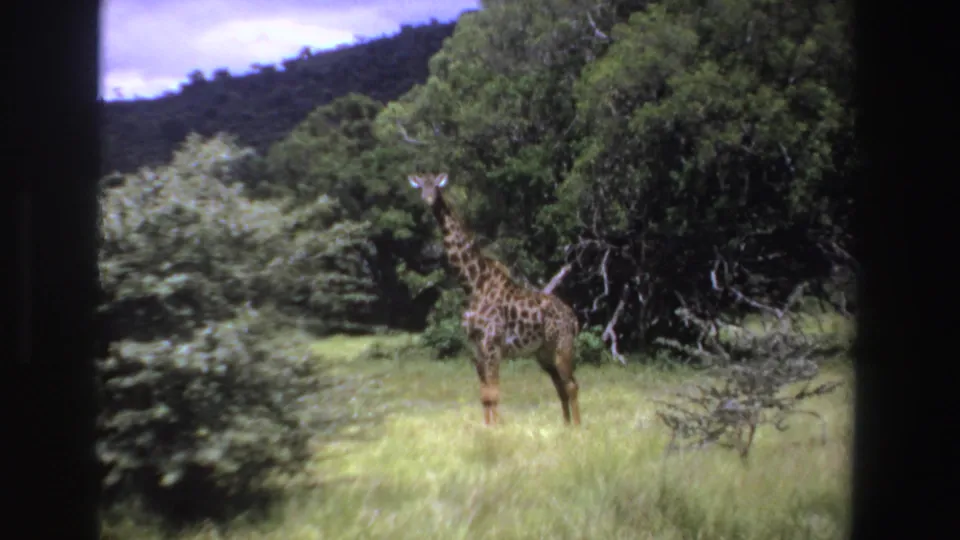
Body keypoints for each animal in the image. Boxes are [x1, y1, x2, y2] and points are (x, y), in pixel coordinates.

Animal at [407, 172, 582, 426]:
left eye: (436, 187)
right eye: (420, 187)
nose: (428, 199)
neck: (472, 284)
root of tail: (574, 317)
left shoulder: (492, 344)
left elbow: (494, 393)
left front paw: (496, 429)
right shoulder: (475, 348)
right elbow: (485, 395)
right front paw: (487, 428)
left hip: (562, 345)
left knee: (571, 385)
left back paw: (577, 428)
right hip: (543, 353)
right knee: (560, 386)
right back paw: (566, 426)